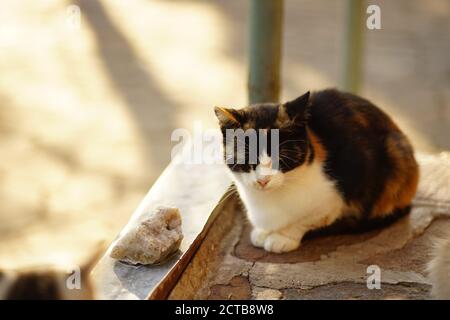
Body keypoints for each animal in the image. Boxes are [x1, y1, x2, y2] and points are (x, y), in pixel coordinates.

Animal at [214, 89, 418, 254]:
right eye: (247, 158)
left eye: (281, 157)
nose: (263, 180)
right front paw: (263, 232)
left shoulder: (334, 198)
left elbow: (305, 220)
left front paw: (283, 237)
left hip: (394, 155)